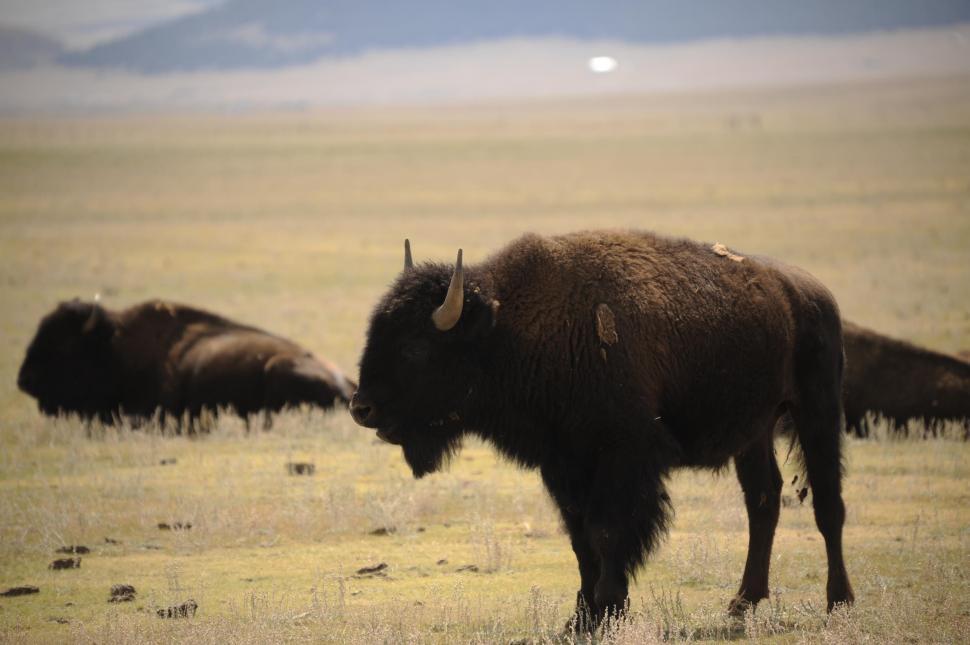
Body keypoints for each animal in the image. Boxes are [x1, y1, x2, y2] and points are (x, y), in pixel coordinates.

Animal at [351, 232, 854, 627]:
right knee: (763, 501)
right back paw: (742, 602)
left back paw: (839, 602)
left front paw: (607, 607)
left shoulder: (623, 458)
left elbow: (608, 531)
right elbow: (580, 538)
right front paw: (582, 615)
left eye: (415, 347)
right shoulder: (563, 464)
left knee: (828, 506)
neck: (510, 329)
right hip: (755, 430)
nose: (361, 408)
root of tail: (813, 294)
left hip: (817, 410)